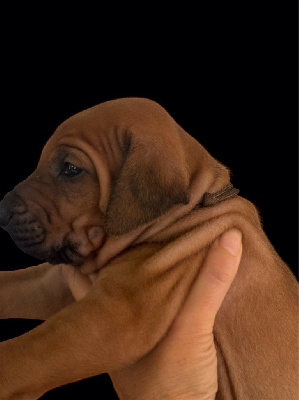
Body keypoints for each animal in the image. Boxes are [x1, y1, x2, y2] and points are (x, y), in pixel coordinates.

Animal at [0, 97, 298, 400]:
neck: (191, 209)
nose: (2, 211)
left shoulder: (116, 311)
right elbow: (16, 284)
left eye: (71, 169)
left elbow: (29, 352)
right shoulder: (62, 282)